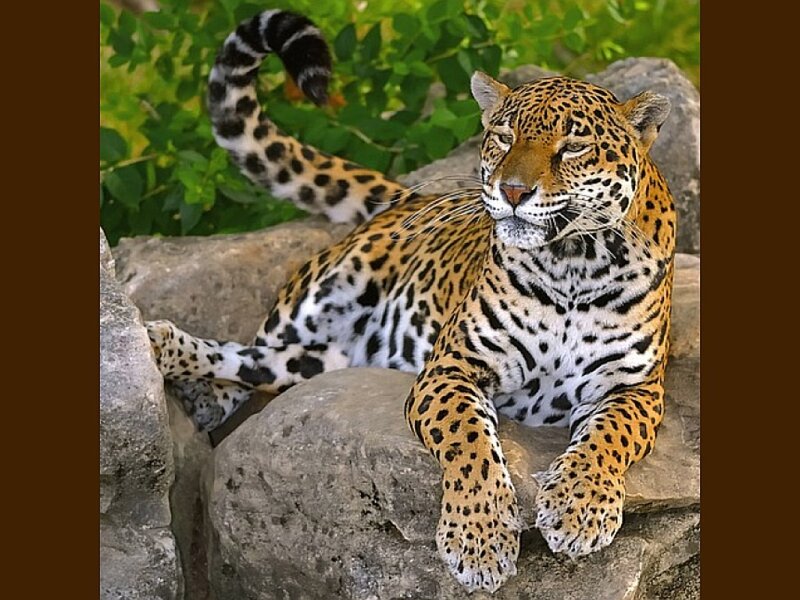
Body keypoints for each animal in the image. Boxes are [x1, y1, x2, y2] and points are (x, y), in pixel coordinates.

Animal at [145, 8, 676, 594]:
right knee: (250, 349)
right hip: (322, 293)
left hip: (323, 360)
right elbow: (470, 440)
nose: (512, 191)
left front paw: (579, 510)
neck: (572, 266)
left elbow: (607, 437)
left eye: (573, 147)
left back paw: (177, 361)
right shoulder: (450, 368)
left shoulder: (636, 389)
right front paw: (480, 541)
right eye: (504, 136)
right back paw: (175, 365)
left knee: (258, 363)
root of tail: (414, 195)